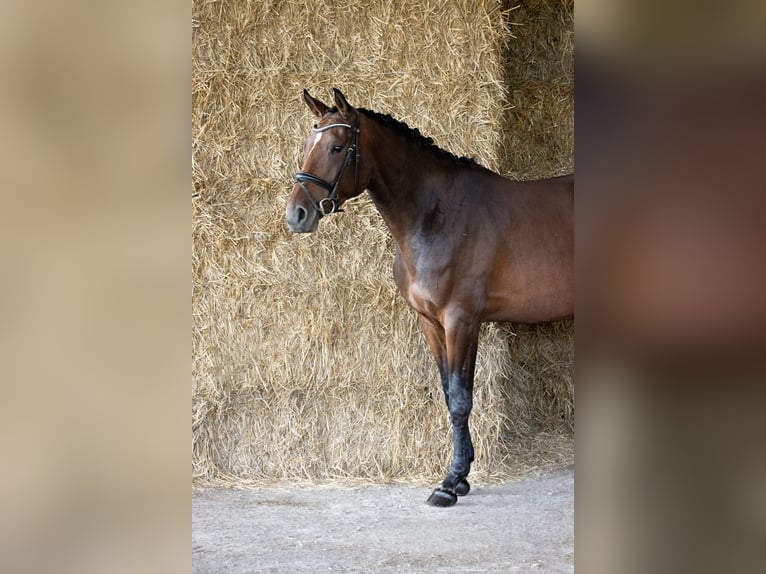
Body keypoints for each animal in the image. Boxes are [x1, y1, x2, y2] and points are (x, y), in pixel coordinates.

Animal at [284, 88, 572, 506]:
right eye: (308, 145)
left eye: (337, 147)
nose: (297, 214)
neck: (438, 216)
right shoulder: (431, 322)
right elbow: (449, 393)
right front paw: (462, 475)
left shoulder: (461, 321)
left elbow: (461, 399)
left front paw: (450, 483)